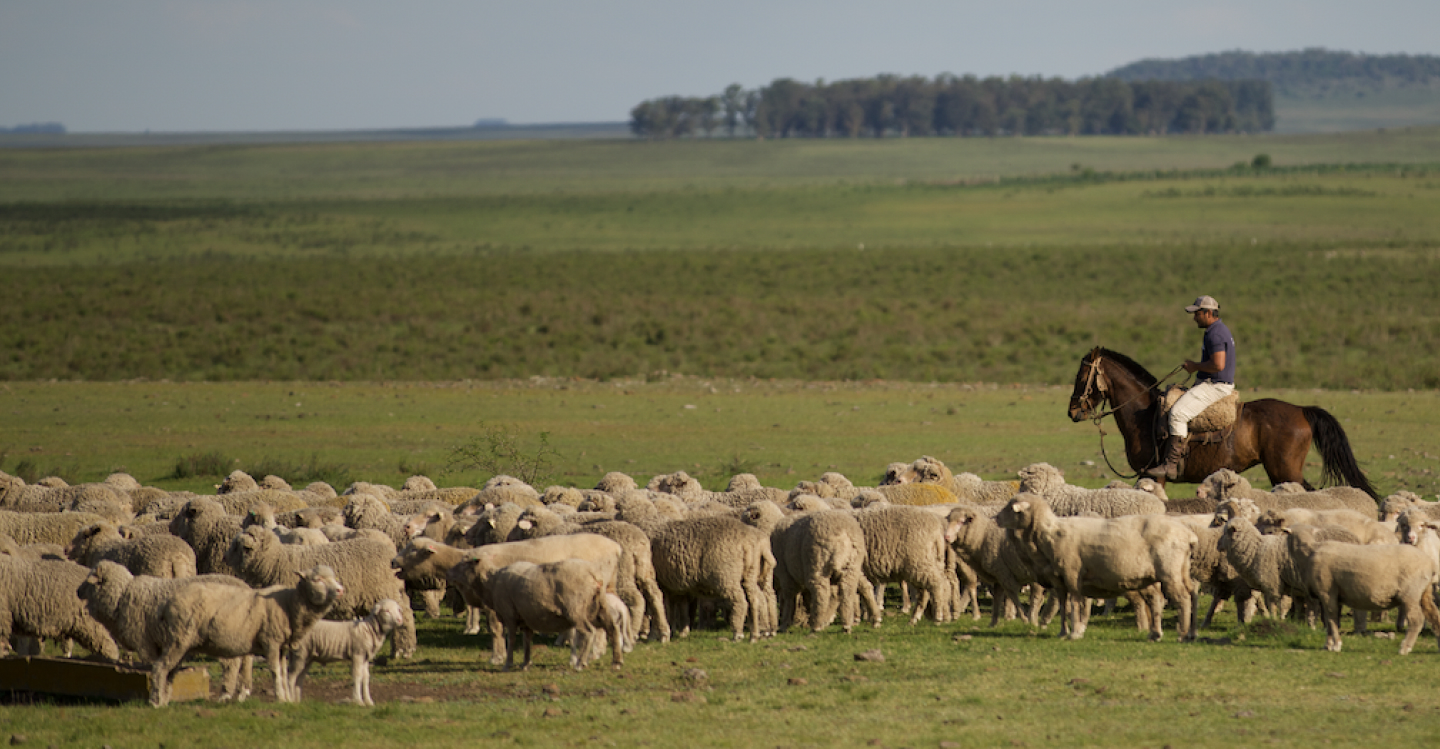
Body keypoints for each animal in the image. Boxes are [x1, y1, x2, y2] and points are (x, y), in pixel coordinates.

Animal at [224, 525, 416, 659]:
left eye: (237, 546)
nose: (224, 558)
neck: (274, 561)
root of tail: (391, 555)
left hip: (384, 591)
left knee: (405, 618)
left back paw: (403, 650)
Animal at [466, 558, 627, 671]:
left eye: (464, 564)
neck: (491, 583)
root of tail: (593, 574)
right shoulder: (526, 618)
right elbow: (526, 640)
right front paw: (525, 664)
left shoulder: (509, 614)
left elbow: (511, 639)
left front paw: (508, 665)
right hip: (598, 608)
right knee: (612, 629)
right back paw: (616, 662)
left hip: (575, 609)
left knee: (588, 632)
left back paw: (580, 664)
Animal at [996, 494, 1196, 642]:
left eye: (1010, 507)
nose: (995, 518)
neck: (1048, 534)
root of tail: (1188, 535)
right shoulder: (1059, 580)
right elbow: (1064, 604)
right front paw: (1063, 632)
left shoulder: (1072, 575)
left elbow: (1075, 603)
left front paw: (1075, 632)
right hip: (1168, 572)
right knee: (1175, 596)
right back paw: (1166, 634)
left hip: (1170, 571)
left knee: (1183, 598)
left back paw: (1181, 634)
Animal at [1068, 346, 1377, 497]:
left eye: (1082, 377)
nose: (1072, 411)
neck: (1145, 414)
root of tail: (1301, 410)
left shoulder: (1153, 475)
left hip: (1285, 470)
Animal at [1283, 524, 1440, 654]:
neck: (1309, 553)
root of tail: (1430, 563)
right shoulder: (1333, 595)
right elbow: (1330, 620)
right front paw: (1328, 645)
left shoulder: (1326, 592)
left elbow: (1331, 618)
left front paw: (1336, 645)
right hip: (1424, 592)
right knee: (1434, 615)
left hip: (1410, 593)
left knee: (1417, 619)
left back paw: (1405, 648)